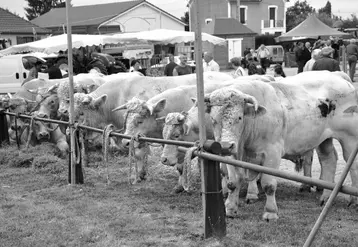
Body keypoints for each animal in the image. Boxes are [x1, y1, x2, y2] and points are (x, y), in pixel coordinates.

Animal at [193, 72, 358, 220]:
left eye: (239, 117)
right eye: (213, 119)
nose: (226, 145)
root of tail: (341, 78)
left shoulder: (272, 153)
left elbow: (268, 185)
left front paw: (270, 212)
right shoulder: (232, 155)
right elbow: (233, 182)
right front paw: (230, 209)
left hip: (349, 138)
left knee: (353, 164)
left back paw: (353, 200)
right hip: (323, 139)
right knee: (328, 160)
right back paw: (325, 198)